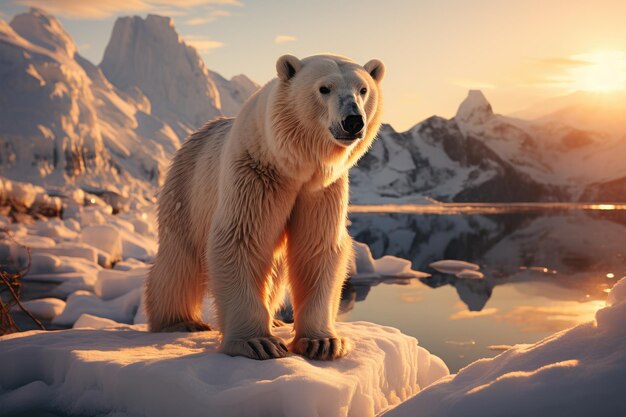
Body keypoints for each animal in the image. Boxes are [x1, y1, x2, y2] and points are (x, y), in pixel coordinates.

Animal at [144, 53, 382, 360]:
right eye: (324, 88)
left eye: (363, 90)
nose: (353, 121)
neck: (292, 164)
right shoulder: (255, 175)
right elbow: (241, 240)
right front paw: (257, 342)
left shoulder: (322, 189)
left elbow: (318, 246)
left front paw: (323, 342)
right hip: (186, 189)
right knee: (179, 260)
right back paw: (179, 321)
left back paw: (276, 319)